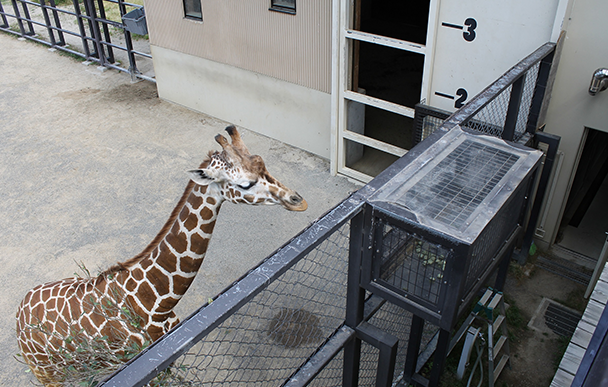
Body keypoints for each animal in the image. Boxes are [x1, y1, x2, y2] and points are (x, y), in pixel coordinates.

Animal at [15, 126, 308, 384]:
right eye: (245, 184)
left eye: (263, 164)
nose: (299, 201)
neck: (155, 303)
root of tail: (19, 315)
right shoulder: (143, 368)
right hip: (48, 374)